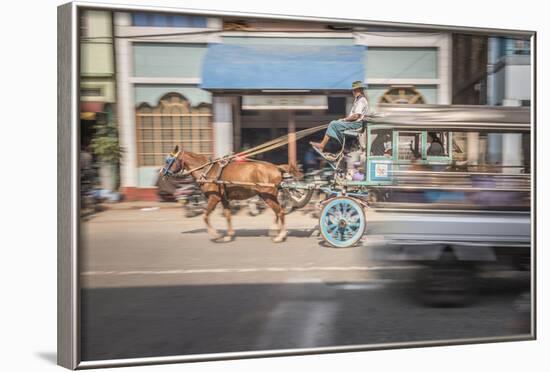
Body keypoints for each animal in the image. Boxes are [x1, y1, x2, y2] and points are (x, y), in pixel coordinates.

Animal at [164, 145, 302, 244]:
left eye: (168, 161)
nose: (163, 172)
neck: (207, 171)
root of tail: (276, 167)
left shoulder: (214, 198)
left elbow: (205, 216)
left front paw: (215, 235)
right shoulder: (224, 199)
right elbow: (228, 215)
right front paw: (229, 236)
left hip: (267, 195)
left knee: (280, 212)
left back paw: (280, 236)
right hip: (269, 196)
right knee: (278, 212)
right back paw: (275, 230)